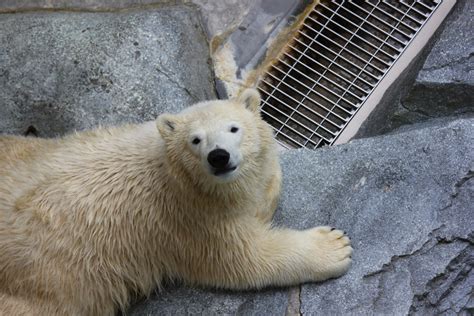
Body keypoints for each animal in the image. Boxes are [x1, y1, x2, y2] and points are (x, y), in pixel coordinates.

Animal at [0, 89, 352, 316]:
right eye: (195, 139)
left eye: (234, 128)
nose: (218, 156)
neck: (170, 169)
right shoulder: (184, 217)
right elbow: (242, 258)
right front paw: (334, 246)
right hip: (43, 289)